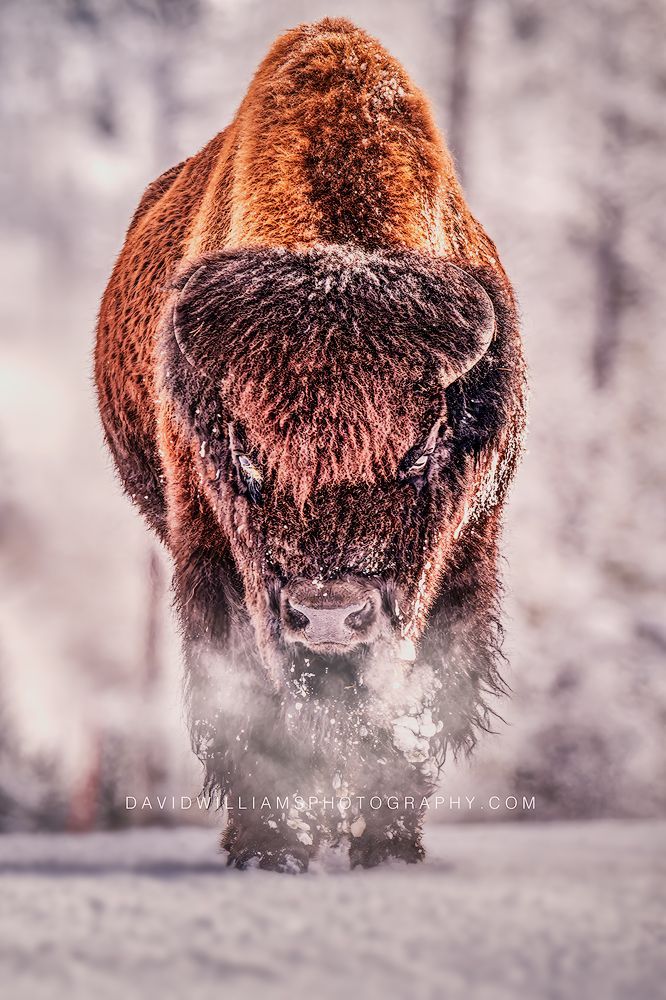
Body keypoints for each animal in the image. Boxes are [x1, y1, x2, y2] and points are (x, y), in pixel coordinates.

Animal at [95, 18, 526, 871]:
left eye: (422, 446)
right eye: (244, 449)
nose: (328, 617)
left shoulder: (463, 558)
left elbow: (413, 710)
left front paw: (387, 848)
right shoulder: (213, 554)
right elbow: (248, 703)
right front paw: (268, 849)